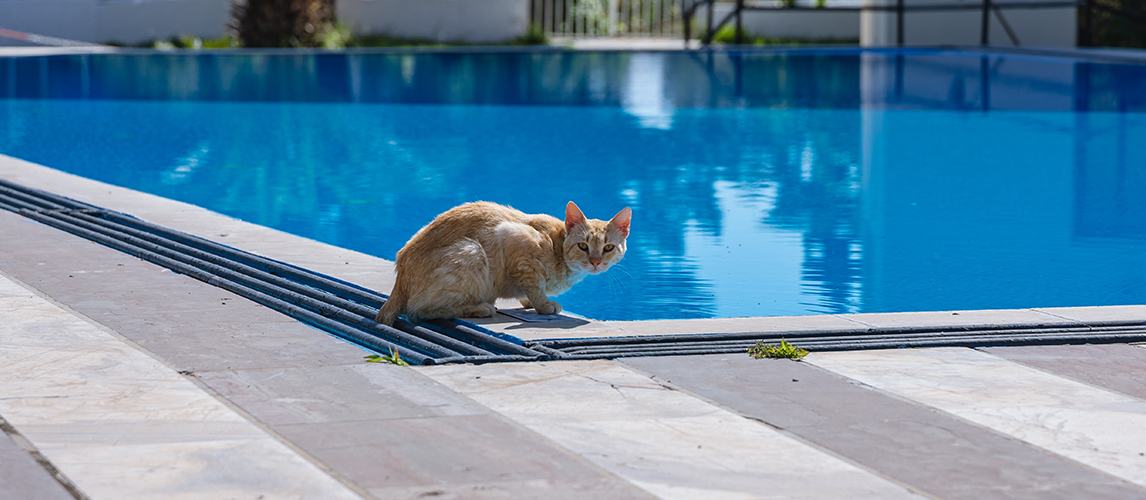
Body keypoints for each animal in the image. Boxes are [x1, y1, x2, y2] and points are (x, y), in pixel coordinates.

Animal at [375, 200, 632, 325]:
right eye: (583, 246)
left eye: (608, 248)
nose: (595, 262)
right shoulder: (513, 238)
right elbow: (534, 284)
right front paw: (543, 304)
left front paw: (528, 301)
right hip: (472, 251)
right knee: (417, 310)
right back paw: (478, 308)